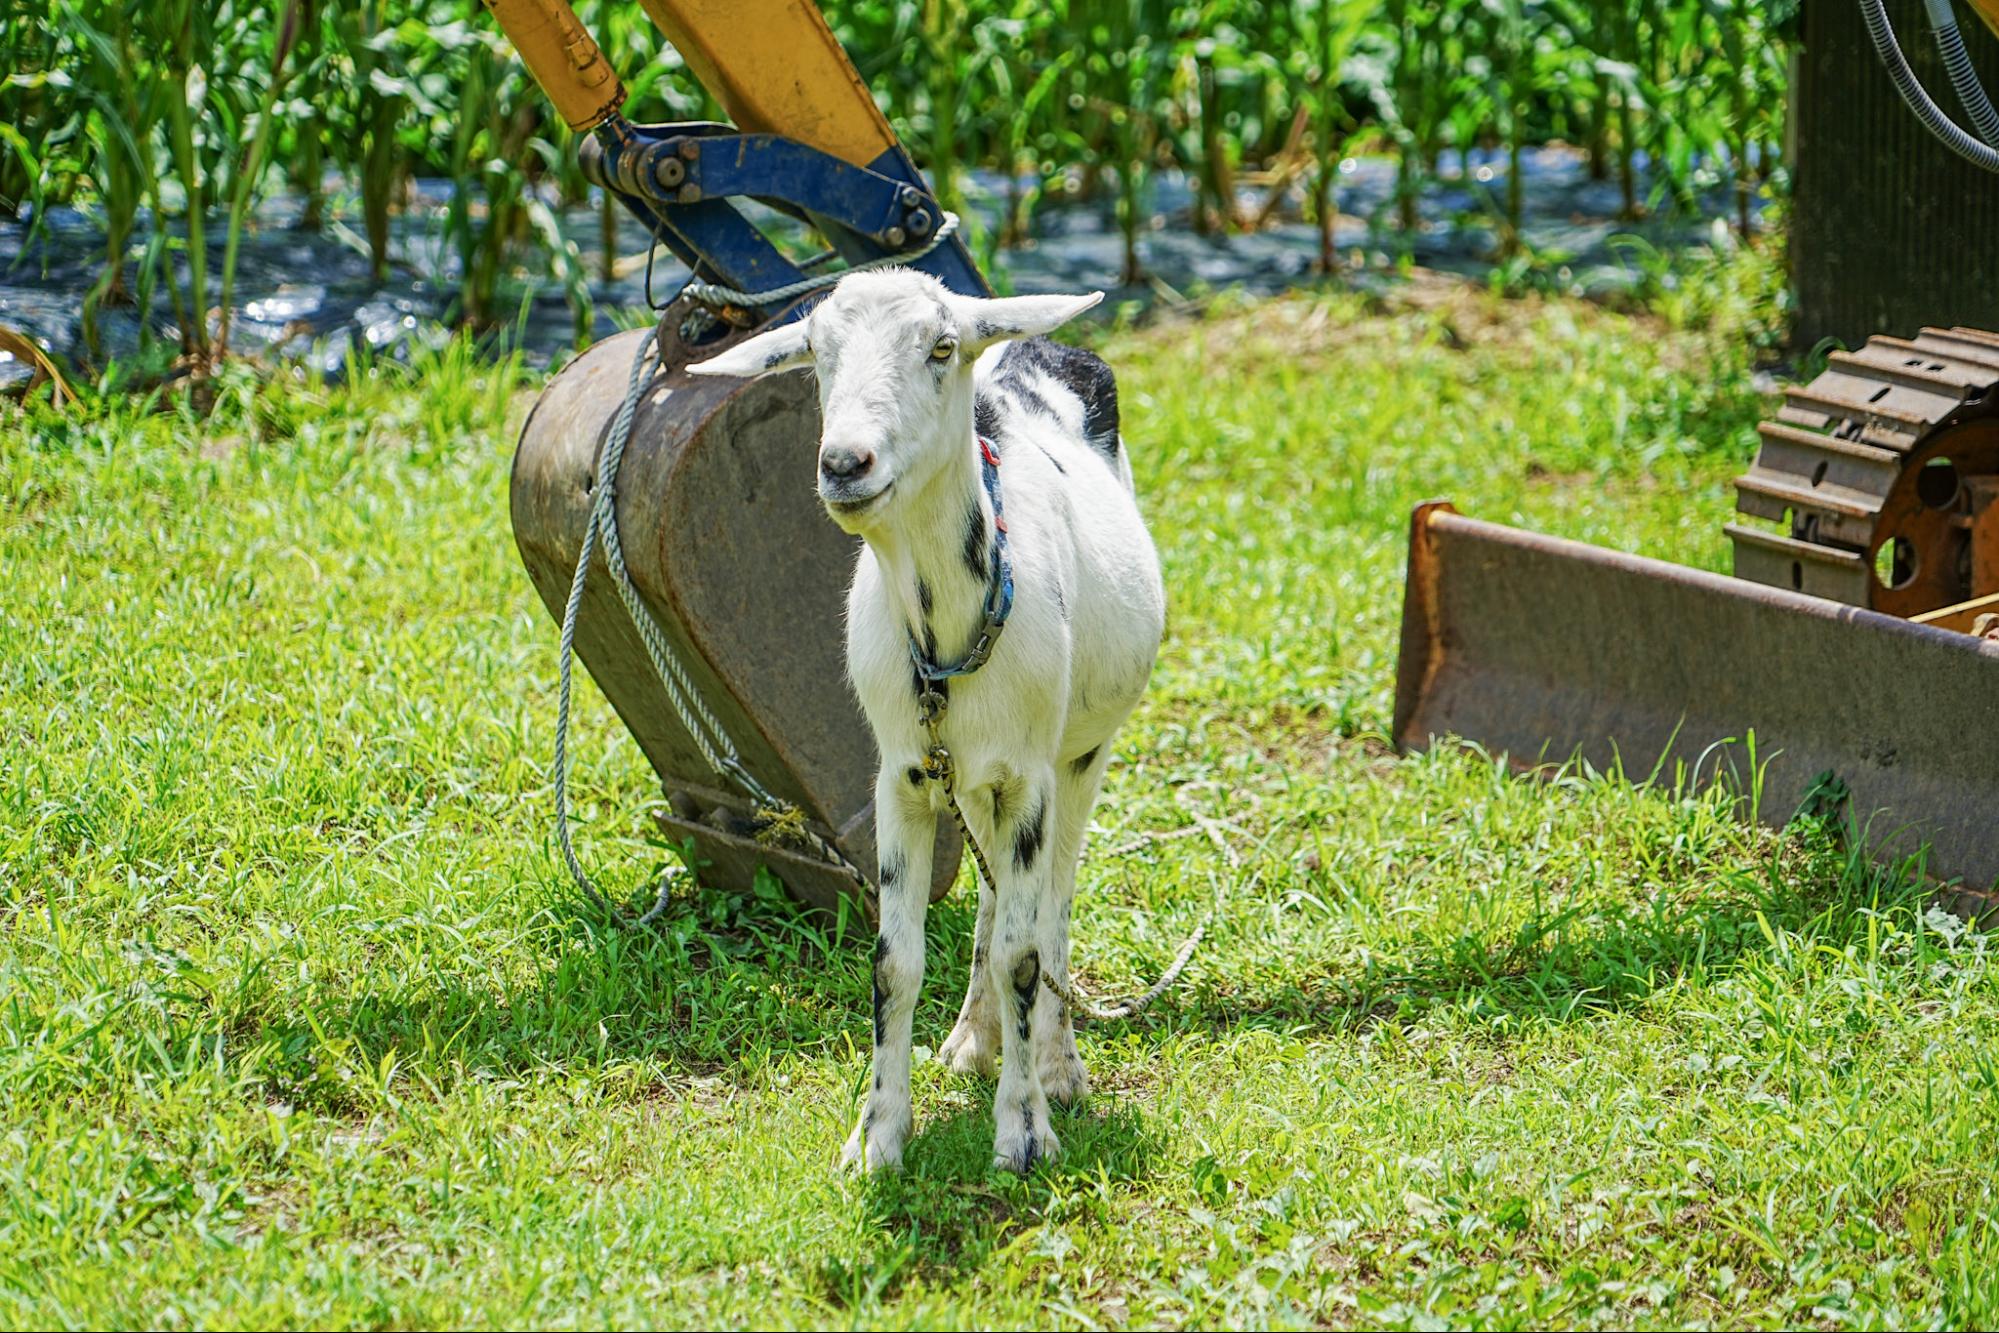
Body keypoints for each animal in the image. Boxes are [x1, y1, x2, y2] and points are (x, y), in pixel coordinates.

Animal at [687, 273, 1167, 1175]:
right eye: (817, 354)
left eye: (940, 347)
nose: (845, 463)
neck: (946, 636)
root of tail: (1030, 339)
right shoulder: (901, 777)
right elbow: (894, 961)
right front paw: (876, 1136)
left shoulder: (1031, 774)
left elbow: (1025, 952)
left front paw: (1023, 1131)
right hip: (974, 779)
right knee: (993, 893)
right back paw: (974, 1040)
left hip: (1082, 753)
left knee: (1051, 902)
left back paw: (1056, 1064)